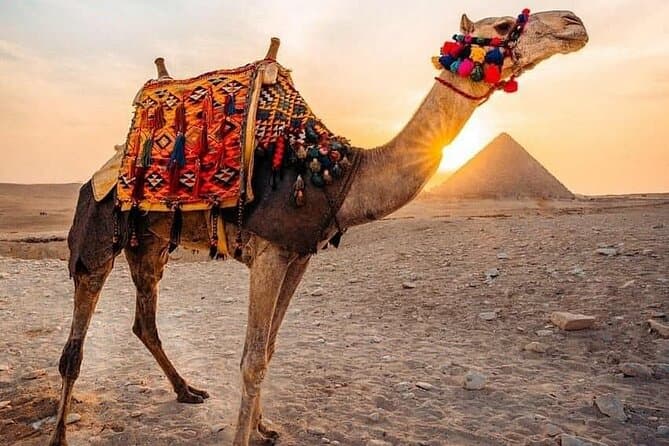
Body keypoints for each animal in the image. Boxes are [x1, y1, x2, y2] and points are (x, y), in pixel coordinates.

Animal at [49, 9, 588, 446]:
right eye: (503, 24)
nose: (574, 22)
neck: (339, 173)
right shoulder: (268, 252)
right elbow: (252, 360)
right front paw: (246, 434)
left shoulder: (298, 254)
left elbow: (269, 348)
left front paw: (264, 428)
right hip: (96, 228)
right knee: (76, 341)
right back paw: (60, 434)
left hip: (150, 243)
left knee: (145, 319)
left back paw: (187, 391)